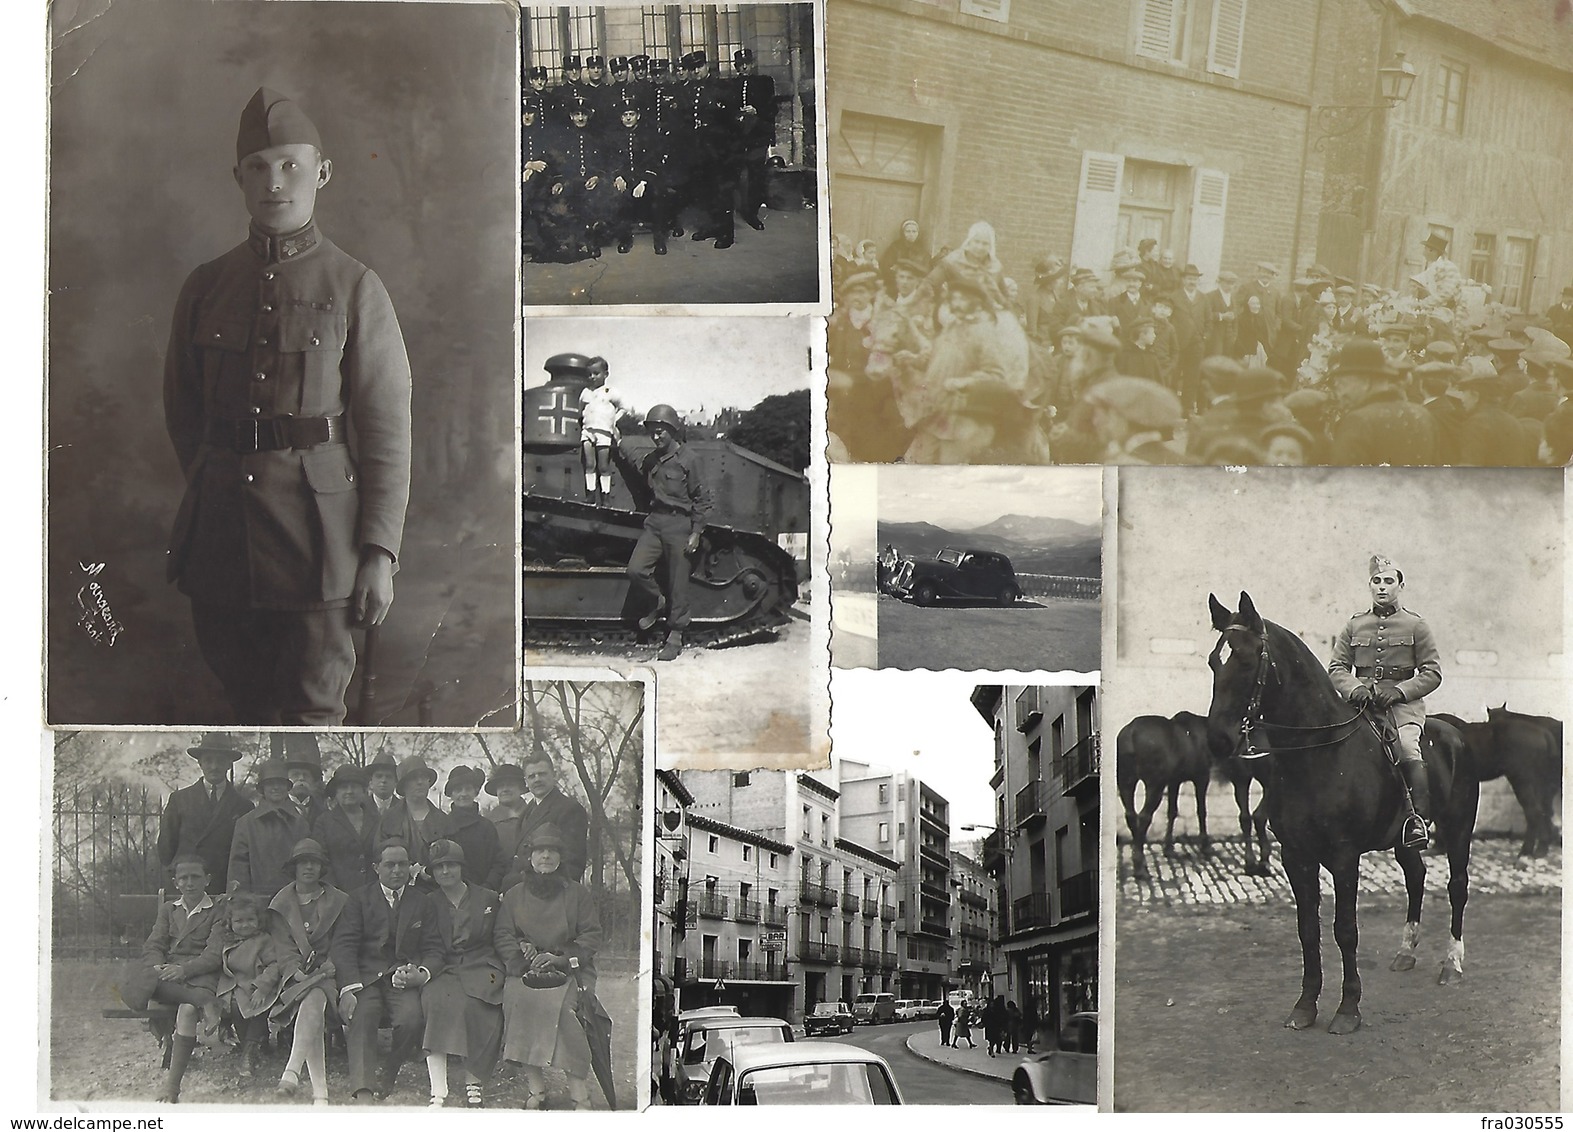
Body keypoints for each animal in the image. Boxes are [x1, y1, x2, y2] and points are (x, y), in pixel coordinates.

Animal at [1208, 591, 1478, 1037]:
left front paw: (1348, 1008)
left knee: (1457, 887)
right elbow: (1308, 930)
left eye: (1246, 659)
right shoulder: (1296, 856)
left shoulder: (1343, 855)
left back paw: (1452, 964)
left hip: (1458, 831)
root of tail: (1456, 732)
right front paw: (1305, 1005)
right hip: (1404, 840)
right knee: (1416, 877)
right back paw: (1406, 952)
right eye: (1215, 660)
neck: (1317, 754)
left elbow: (1345, 930)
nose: (1219, 739)